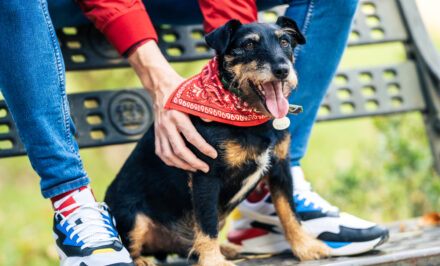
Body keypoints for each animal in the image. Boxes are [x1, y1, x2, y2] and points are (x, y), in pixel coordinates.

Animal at [104, 17, 330, 266]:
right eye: (249, 45)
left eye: (285, 42)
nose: (282, 70)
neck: (251, 116)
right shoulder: (206, 174)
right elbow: (207, 221)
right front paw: (213, 260)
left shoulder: (280, 169)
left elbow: (289, 212)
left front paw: (305, 247)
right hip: (132, 217)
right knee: (131, 245)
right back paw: (142, 260)